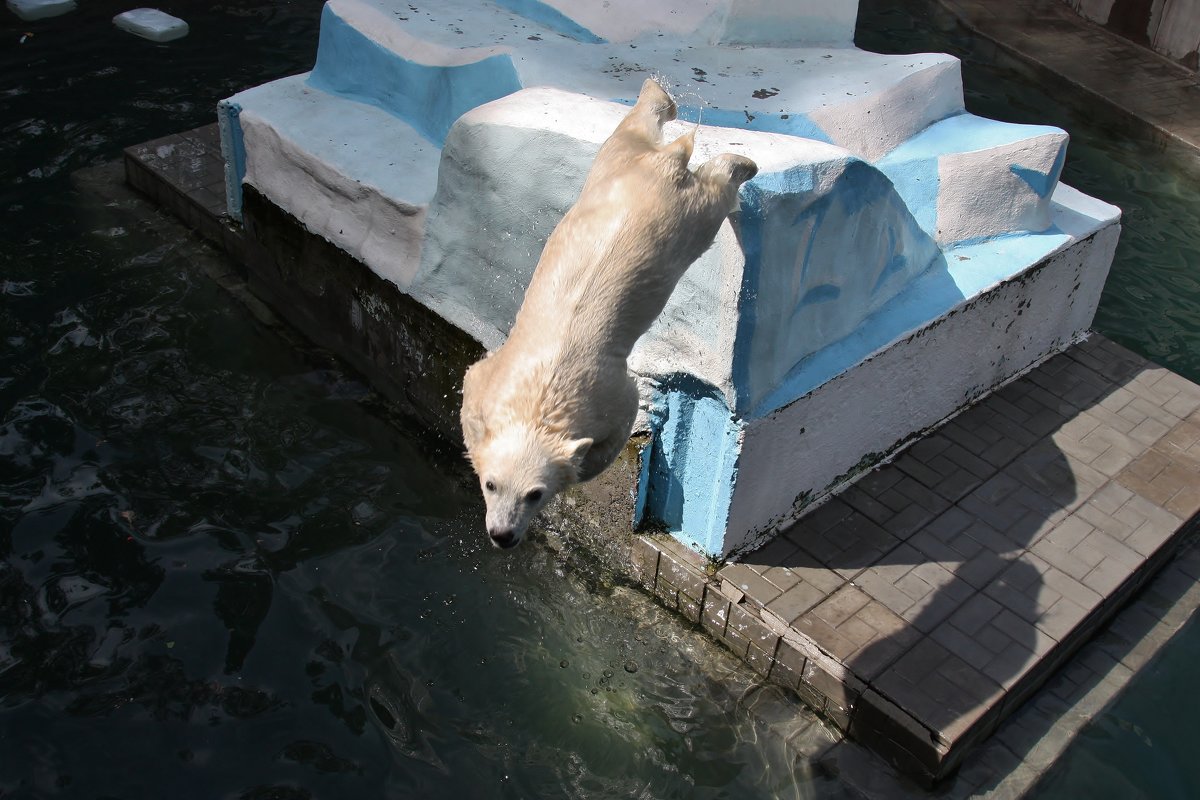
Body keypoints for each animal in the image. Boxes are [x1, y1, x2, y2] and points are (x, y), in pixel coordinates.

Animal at [460, 77, 753, 546]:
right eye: (491, 484)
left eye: (535, 494)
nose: (502, 535)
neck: (542, 398)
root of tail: (666, 165)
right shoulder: (496, 377)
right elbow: (472, 384)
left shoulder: (605, 393)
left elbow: (624, 417)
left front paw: (582, 466)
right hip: (615, 174)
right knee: (629, 135)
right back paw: (665, 102)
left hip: (683, 220)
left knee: (712, 191)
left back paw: (739, 160)